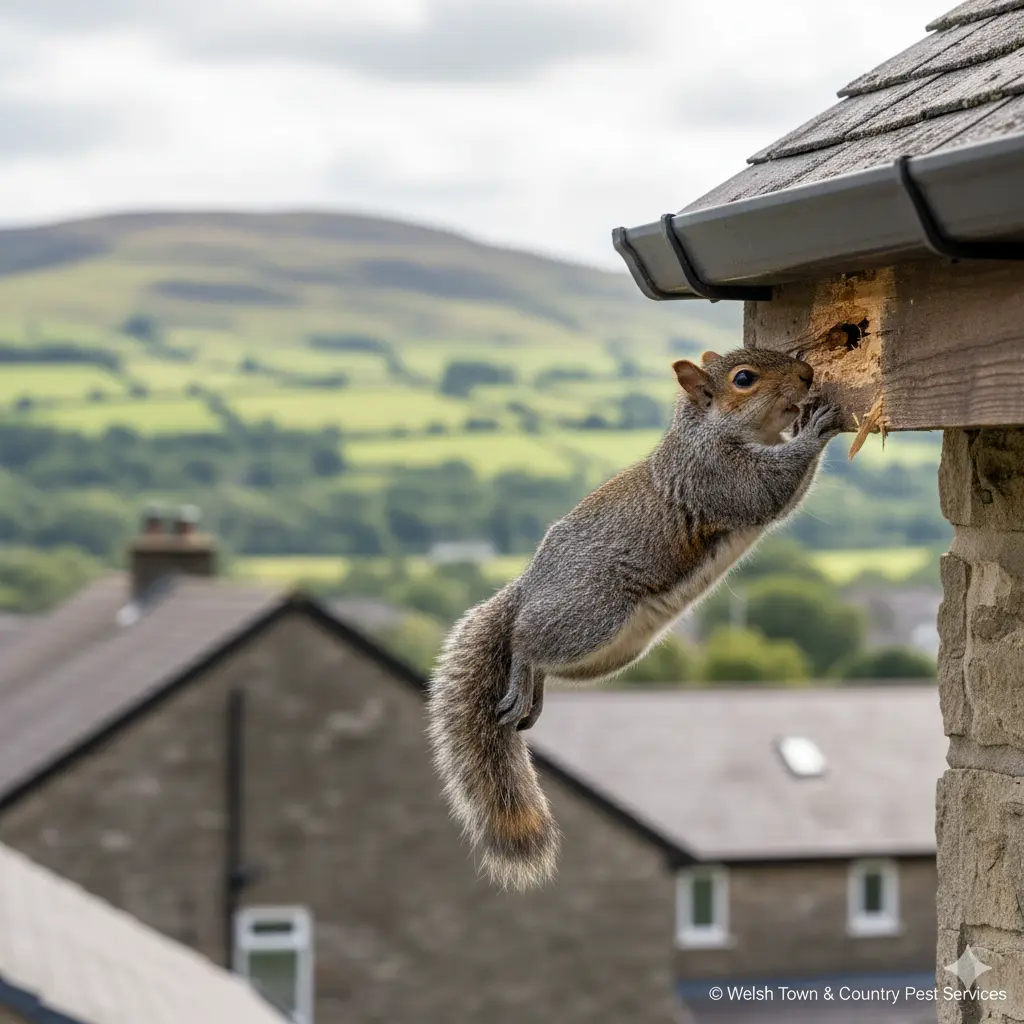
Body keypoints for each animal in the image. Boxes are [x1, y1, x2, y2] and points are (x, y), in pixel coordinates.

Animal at [426, 348, 842, 891]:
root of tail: (529, 587)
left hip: (612, 650)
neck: (706, 431)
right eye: (744, 379)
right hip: (590, 614)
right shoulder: (717, 476)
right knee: (525, 643)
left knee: (544, 662)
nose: (808, 374)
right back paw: (520, 675)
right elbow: (769, 488)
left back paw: (534, 694)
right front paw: (816, 427)